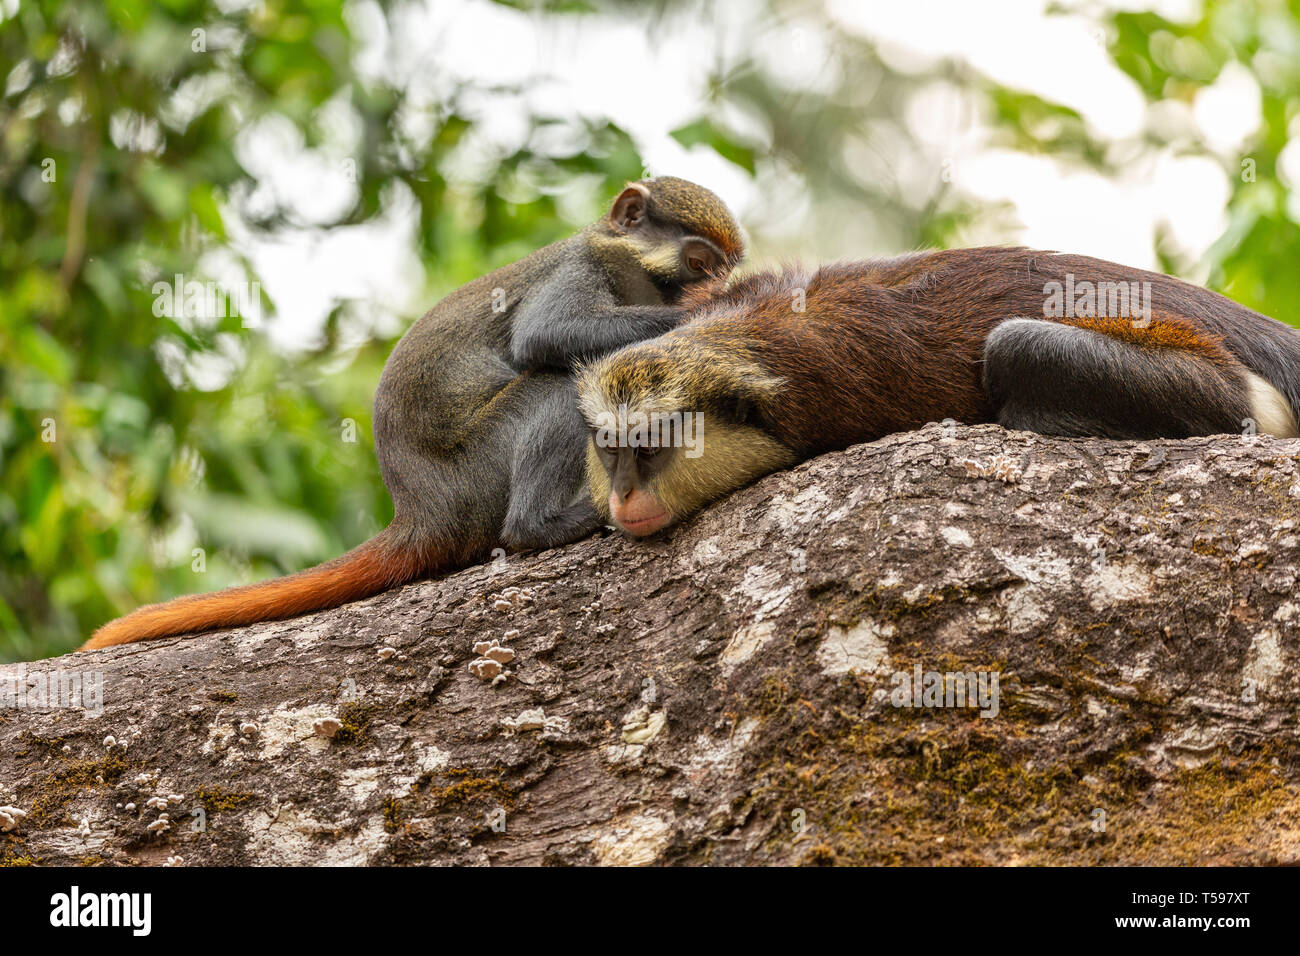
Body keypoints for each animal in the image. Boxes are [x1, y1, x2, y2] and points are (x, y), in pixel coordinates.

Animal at [83, 178, 743, 650]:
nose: (712, 282)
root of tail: (422, 511)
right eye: (700, 264)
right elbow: (547, 335)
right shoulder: (577, 269)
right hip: (479, 469)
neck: (624, 267)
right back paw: (540, 527)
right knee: (557, 384)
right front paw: (701, 312)